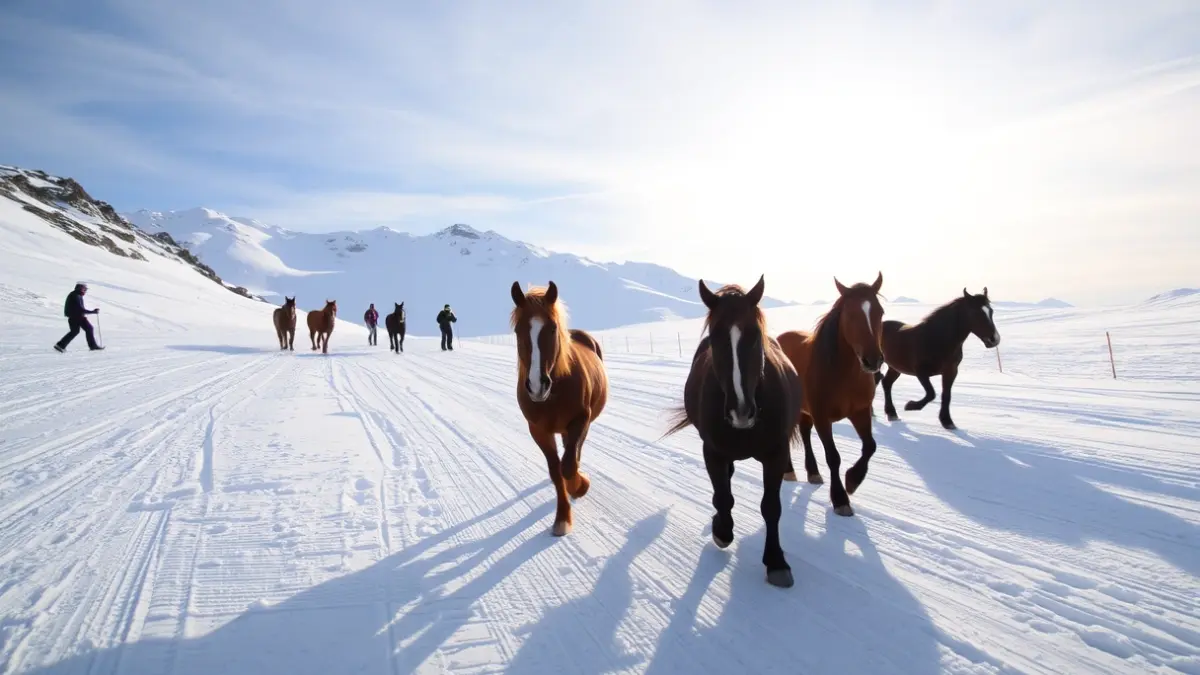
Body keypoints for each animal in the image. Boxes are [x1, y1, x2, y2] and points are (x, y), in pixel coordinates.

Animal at [510, 280, 608, 537]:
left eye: (553, 328)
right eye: (518, 331)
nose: (537, 385)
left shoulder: (580, 420)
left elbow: (568, 466)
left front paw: (580, 486)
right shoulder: (538, 430)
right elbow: (556, 470)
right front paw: (562, 517)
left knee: (574, 453)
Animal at [663, 276, 803, 588]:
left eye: (755, 334)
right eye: (715, 337)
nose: (741, 411)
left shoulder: (776, 454)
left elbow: (771, 507)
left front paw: (776, 561)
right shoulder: (713, 452)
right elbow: (723, 497)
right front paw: (722, 530)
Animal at [777, 272, 885, 518]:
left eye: (880, 312)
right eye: (850, 314)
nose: (873, 360)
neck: (843, 374)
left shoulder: (860, 412)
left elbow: (870, 446)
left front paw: (853, 480)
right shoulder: (822, 417)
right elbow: (833, 457)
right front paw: (840, 499)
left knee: (804, 433)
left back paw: (812, 472)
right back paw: (788, 470)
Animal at [874, 287, 1000, 430]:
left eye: (991, 311)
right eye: (975, 313)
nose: (994, 339)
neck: (936, 338)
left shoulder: (950, 372)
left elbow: (946, 395)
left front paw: (947, 421)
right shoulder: (921, 372)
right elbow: (931, 393)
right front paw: (911, 405)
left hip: (895, 367)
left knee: (886, 383)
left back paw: (891, 413)